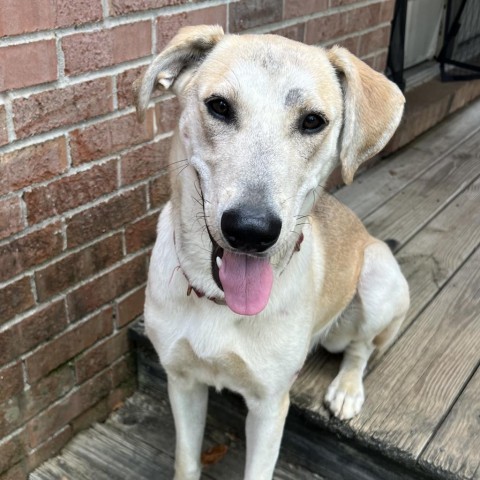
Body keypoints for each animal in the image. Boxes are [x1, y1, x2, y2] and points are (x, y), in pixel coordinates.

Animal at [134, 25, 408, 480]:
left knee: (362, 348)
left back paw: (347, 389)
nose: (250, 230)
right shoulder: (183, 381)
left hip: (378, 277)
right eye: (219, 106)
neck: (219, 302)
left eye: (313, 121)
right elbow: (186, 460)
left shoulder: (268, 406)